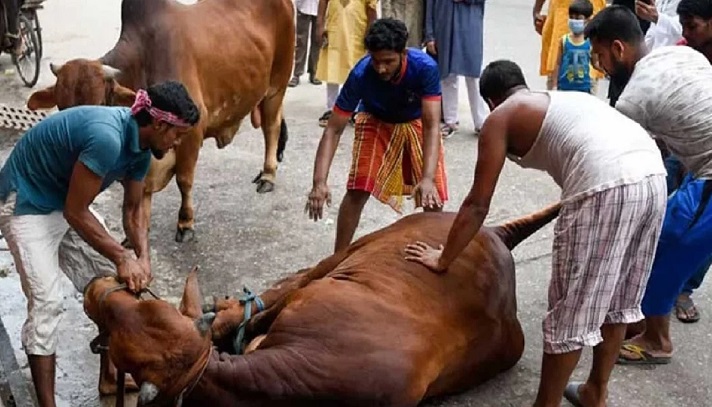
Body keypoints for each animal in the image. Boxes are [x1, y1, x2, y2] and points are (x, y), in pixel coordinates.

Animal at [25, 0, 292, 242]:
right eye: (61, 107)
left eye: (99, 104)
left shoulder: (192, 134)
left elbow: (184, 181)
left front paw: (185, 223)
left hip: (276, 86)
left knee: (271, 127)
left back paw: (268, 176)